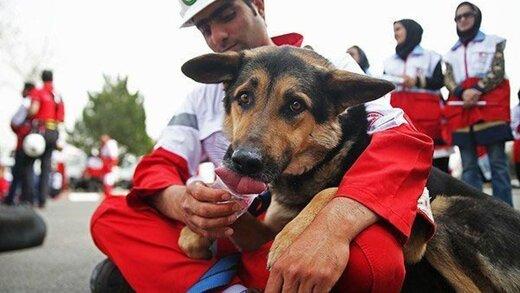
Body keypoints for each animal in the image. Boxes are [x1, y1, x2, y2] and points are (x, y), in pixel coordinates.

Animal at [180, 46, 520, 290]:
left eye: (295, 105)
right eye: (244, 98)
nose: (244, 162)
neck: (319, 162)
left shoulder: (415, 240)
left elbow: (336, 189)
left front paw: (292, 240)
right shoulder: (260, 231)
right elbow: (207, 226)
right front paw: (200, 221)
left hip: (445, 212)